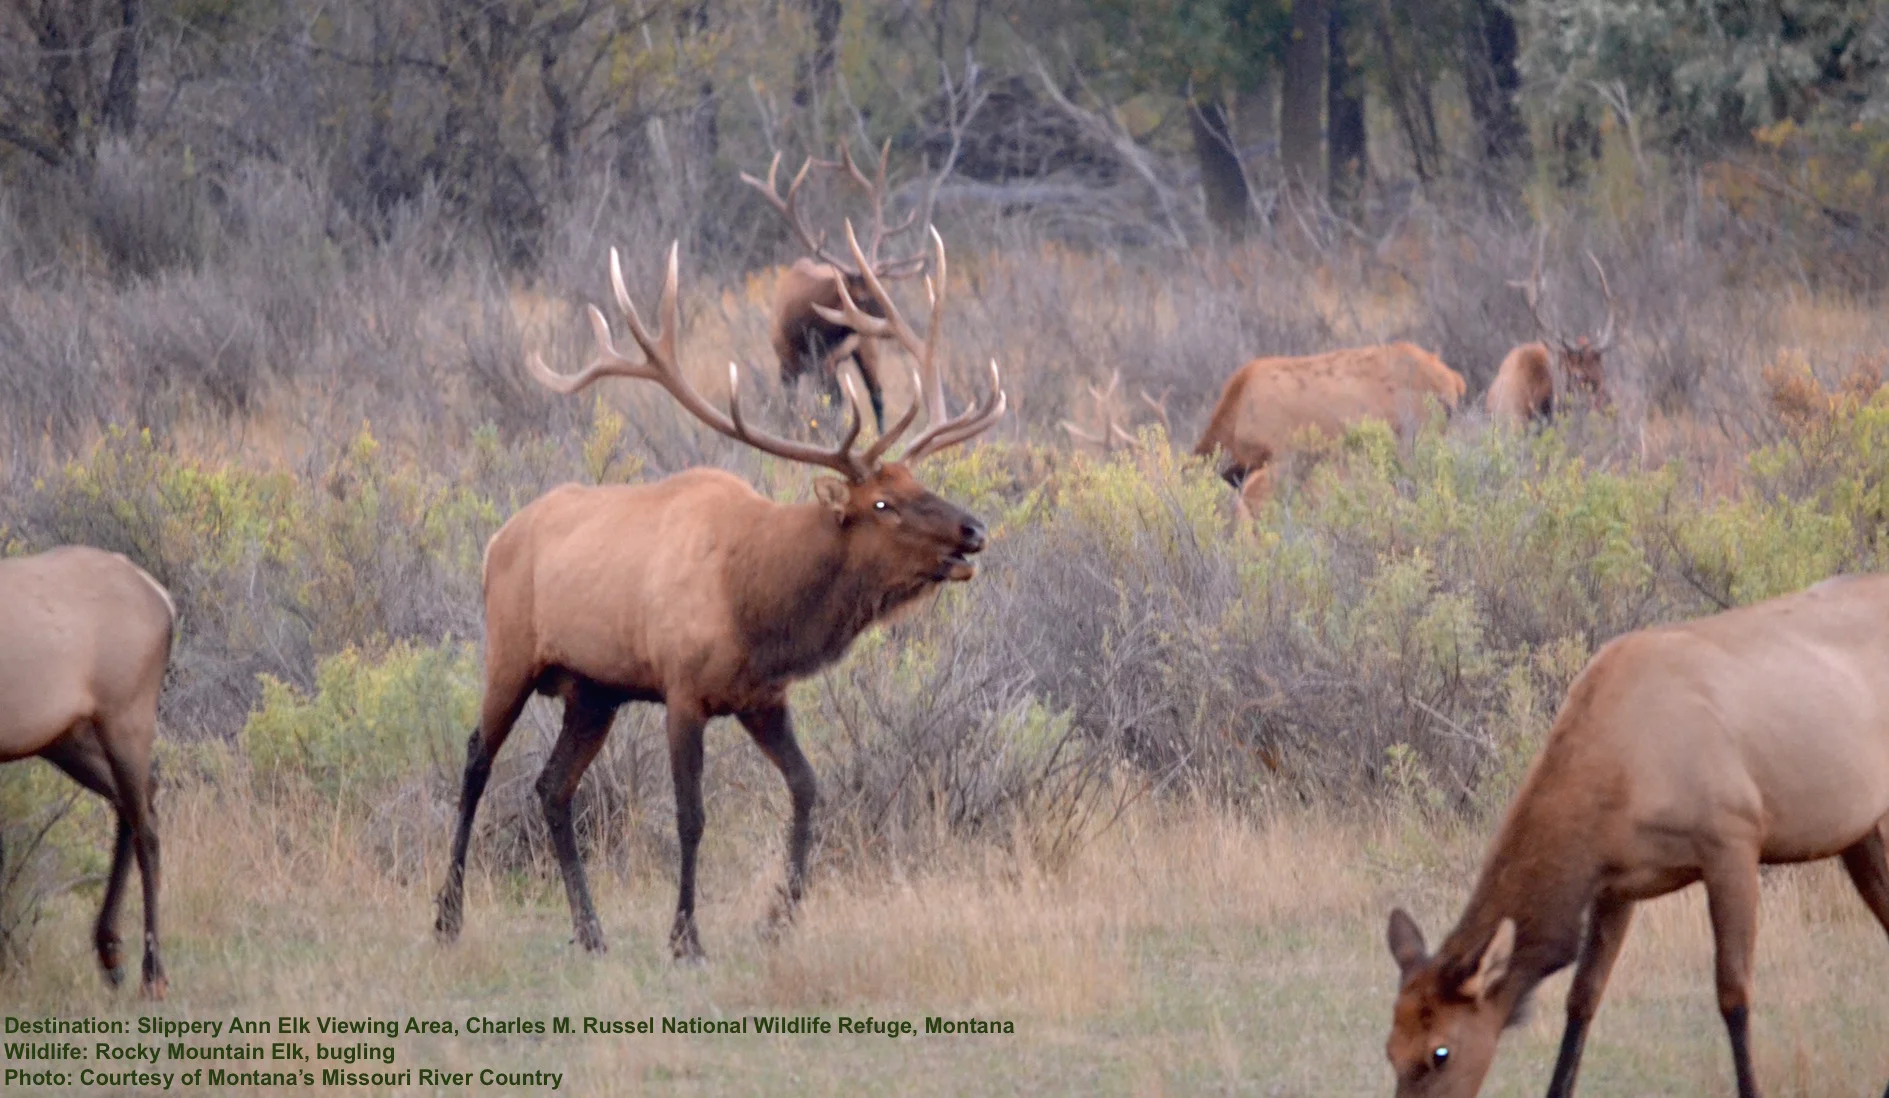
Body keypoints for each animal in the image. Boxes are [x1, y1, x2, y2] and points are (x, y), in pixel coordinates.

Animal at [0, 546, 176, 998]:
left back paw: (153, 974)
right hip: (65, 738)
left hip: (125, 718)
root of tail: (163, 598)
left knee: (147, 824)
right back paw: (111, 951)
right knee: (136, 802)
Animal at [434, 223, 1006, 960]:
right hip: (511, 654)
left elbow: (807, 789)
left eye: (917, 483)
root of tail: (494, 541)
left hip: (593, 690)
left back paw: (590, 930)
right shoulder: (683, 690)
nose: (974, 530)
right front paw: (685, 936)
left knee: (552, 787)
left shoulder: (762, 698)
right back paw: (448, 917)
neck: (758, 604)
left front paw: (779, 916)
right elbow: (692, 815)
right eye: (882, 503)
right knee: (477, 760)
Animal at [742, 142, 935, 433]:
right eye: (863, 297)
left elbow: (834, 408)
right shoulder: (786, 363)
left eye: (882, 288)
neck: (804, 328)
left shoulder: (827, 362)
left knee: (876, 395)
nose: (898, 324)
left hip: (865, 347)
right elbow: (793, 412)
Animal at [1384, 573, 1889, 1098]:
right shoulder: (1616, 884)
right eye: (1390, 1050)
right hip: (1860, 833)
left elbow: (1733, 993)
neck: (1620, 781)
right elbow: (1582, 997)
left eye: (1440, 1052)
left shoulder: (1733, 841)